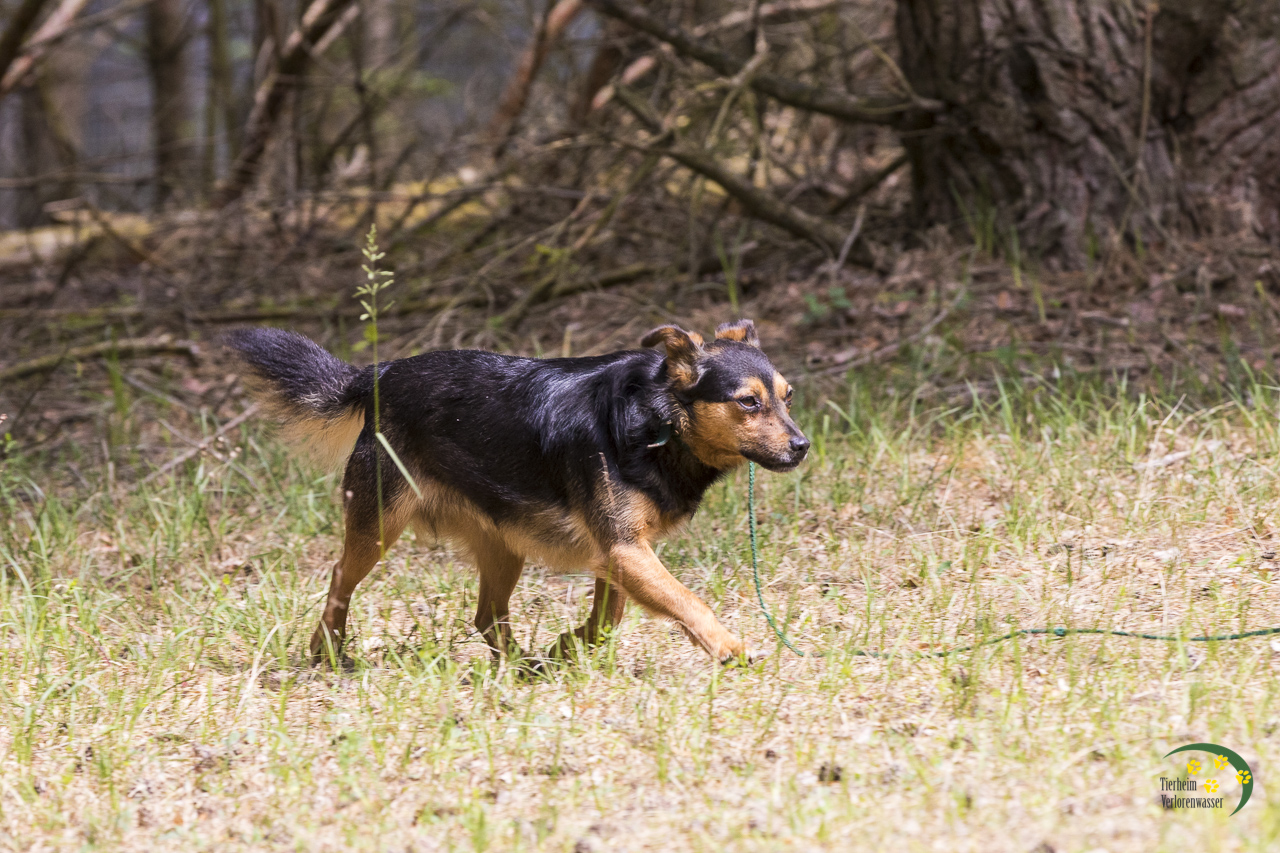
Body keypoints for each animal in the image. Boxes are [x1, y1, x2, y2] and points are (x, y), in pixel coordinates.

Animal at [225, 320, 808, 666]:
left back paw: (524, 666)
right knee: (339, 580)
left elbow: (608, 620)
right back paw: (326, 650)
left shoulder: (618, 554)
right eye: (748, 402)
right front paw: (729, 646)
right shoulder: (625, 550)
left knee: (487, 616)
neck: (657, 417)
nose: (802, 446)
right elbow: (690, 602)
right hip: (377, 529)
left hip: (504, 545)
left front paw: (570, 647)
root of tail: (379, 375)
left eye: (788, 397)